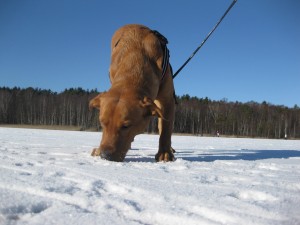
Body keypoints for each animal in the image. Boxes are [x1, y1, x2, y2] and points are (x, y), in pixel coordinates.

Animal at [89, 24, 175, 162]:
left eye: (126, 126)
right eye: (102, 123)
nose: (105, 156)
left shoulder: (167, 100)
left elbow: (166, 128)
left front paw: (164, 152)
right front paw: (97, 150)